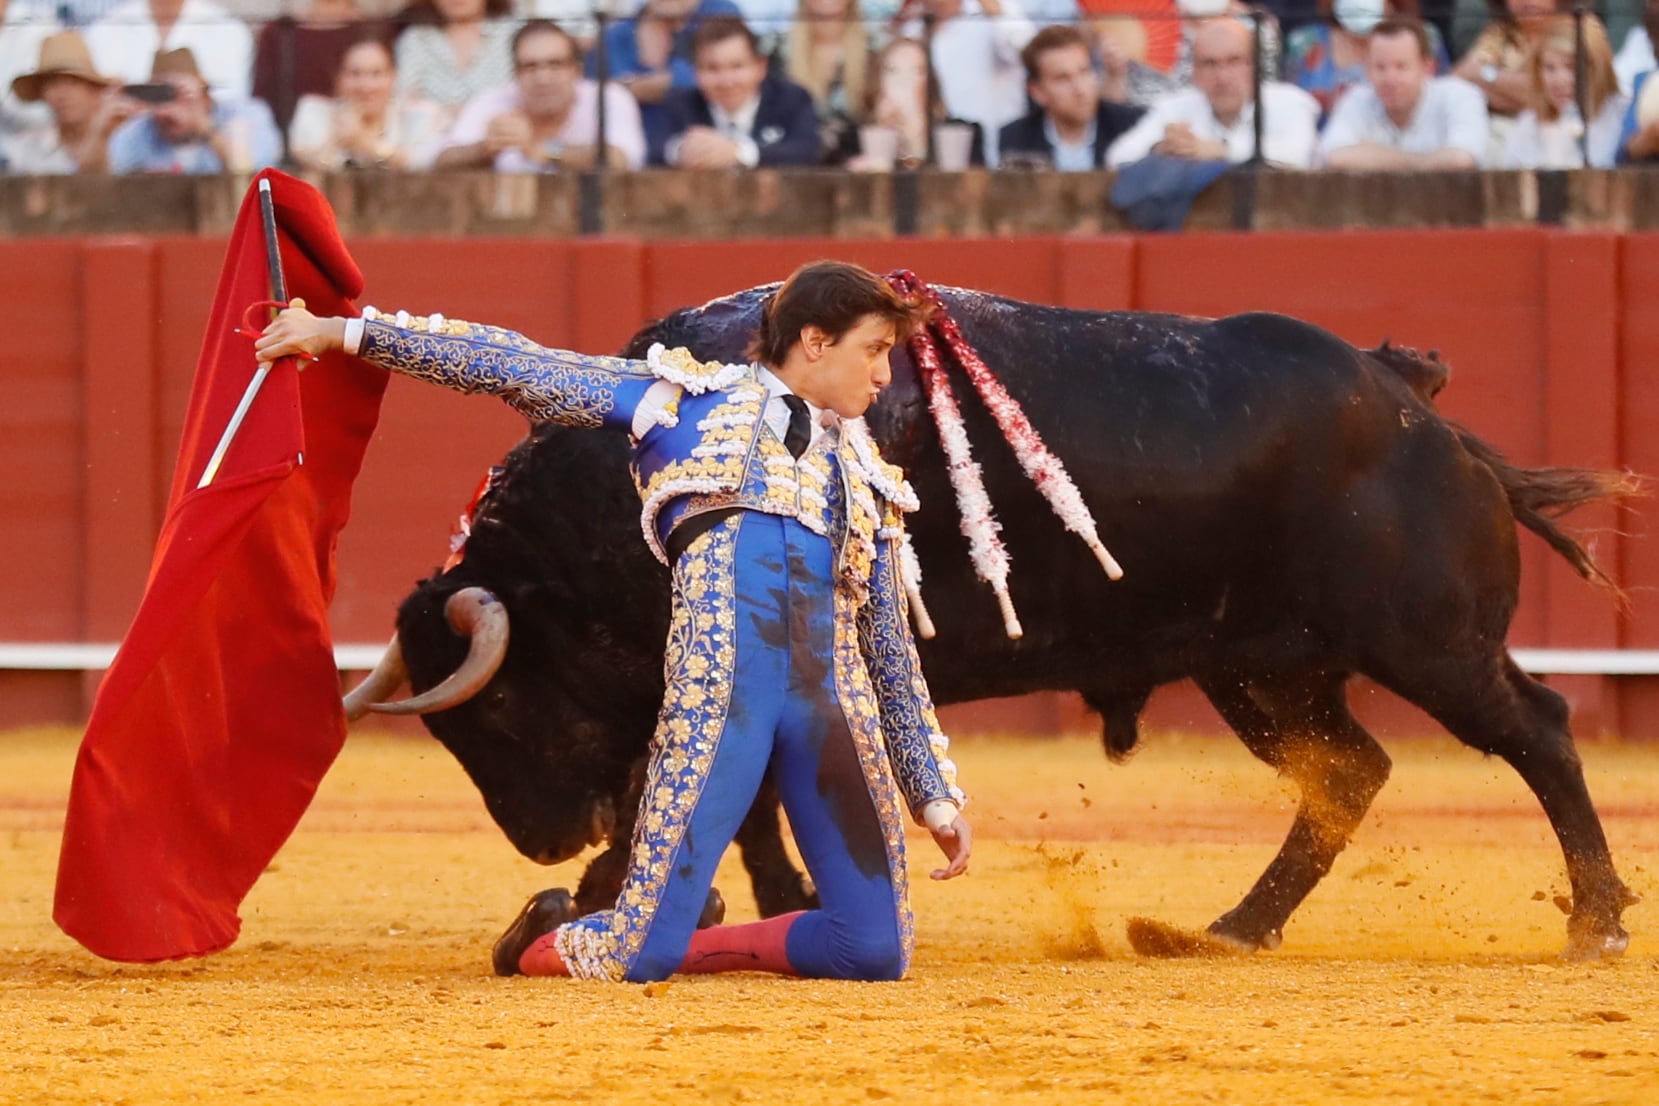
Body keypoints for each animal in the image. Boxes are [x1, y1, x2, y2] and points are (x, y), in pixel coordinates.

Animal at [346, 283, 1632, 961]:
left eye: (499, 709)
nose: (541, 841)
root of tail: (1410, 397)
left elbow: (730, 787)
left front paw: (597, 900)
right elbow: (752, 798)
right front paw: (759, 897)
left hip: (1427, 640)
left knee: (1538, 729)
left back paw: (1598, 921)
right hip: (1261, 668)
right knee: (1349, 767)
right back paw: (1225, 926)